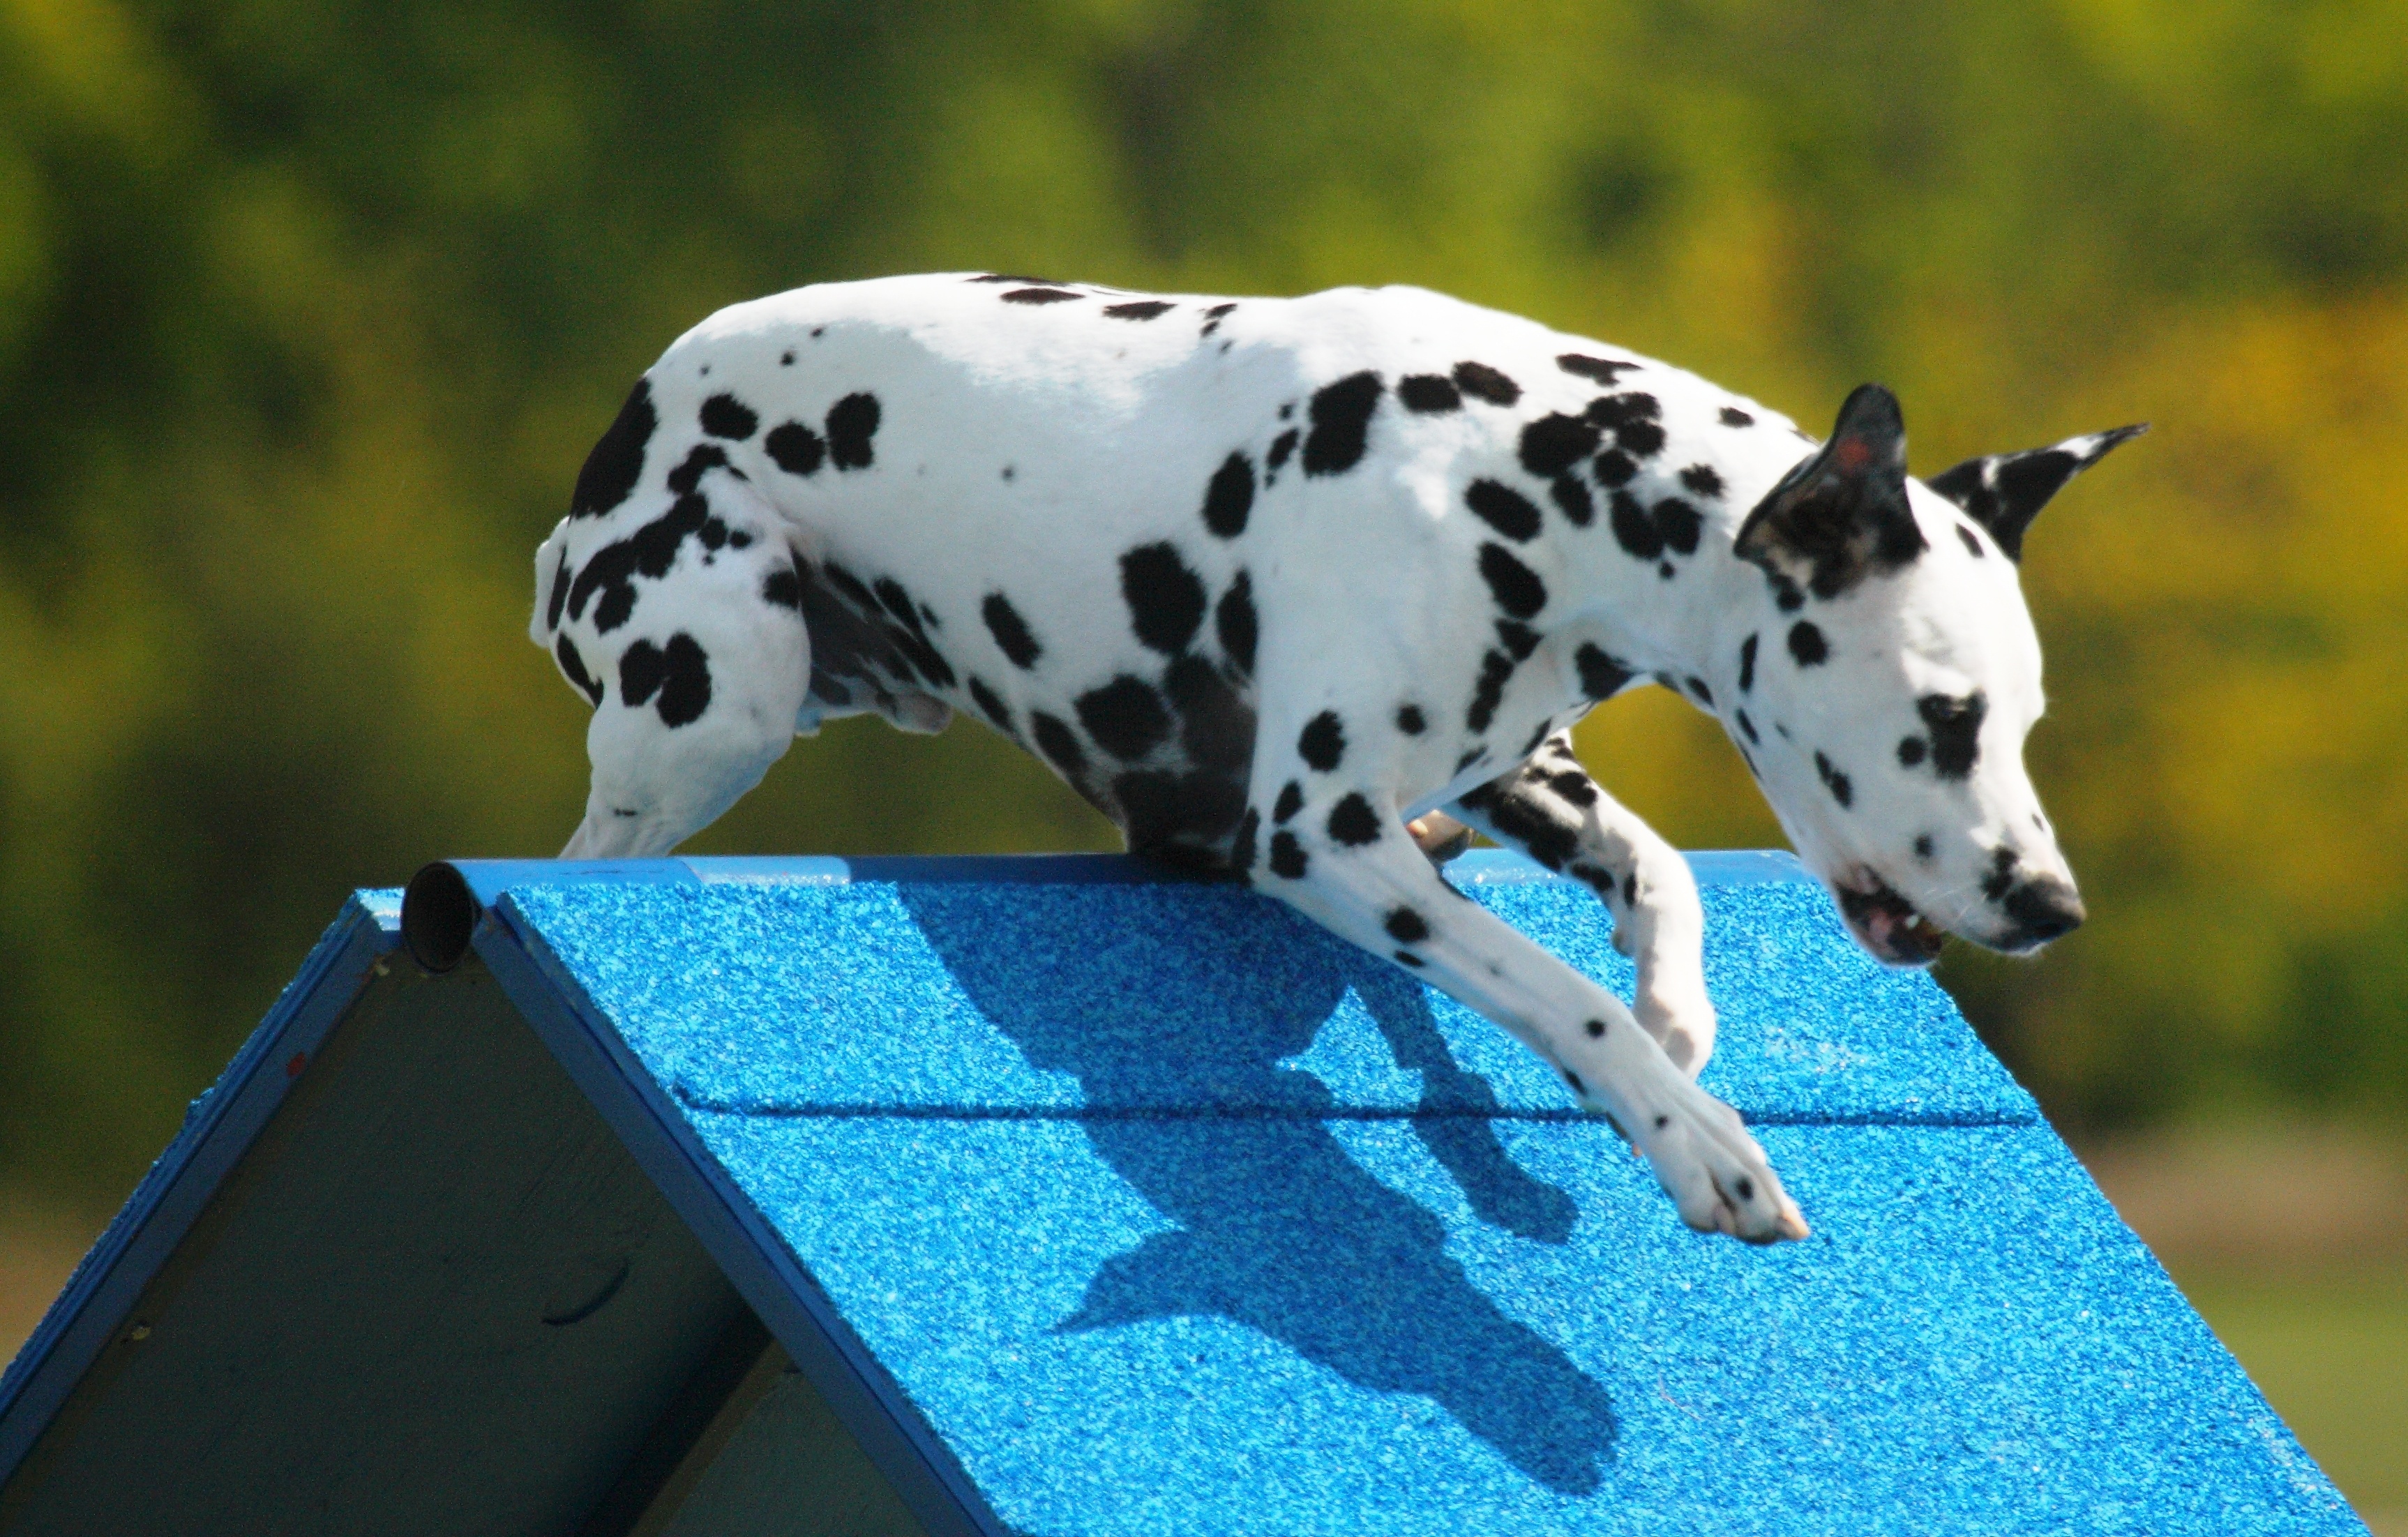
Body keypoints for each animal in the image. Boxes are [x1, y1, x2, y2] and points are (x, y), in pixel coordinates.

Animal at [532, 277, 2148, 1243]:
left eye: (2026, 718)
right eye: (1942, 714)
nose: (2053, 908)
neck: (1528, 468)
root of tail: (621, 427)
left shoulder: (1509, 769)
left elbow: (1659, 874)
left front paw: (1674, 1017)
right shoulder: (1319, 834)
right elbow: (1552, 992)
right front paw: (1693, 1135)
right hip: (711, 708)